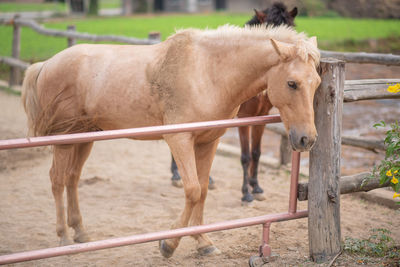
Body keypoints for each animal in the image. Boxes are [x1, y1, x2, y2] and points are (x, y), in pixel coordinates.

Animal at [21, 24, 320, 258]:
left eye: (316, 82)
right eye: (292, 83)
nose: (306, 139)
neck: (208, 72)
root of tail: (46, 64)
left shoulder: (208, 142)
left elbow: (203, 190)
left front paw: (203, 242)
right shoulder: (179, 140)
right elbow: (192, 190)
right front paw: (169, 244)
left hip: (85, 137)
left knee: (72, 179)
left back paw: (80, 233)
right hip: (64, 139)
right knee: (58, 180)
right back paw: (63, 238)